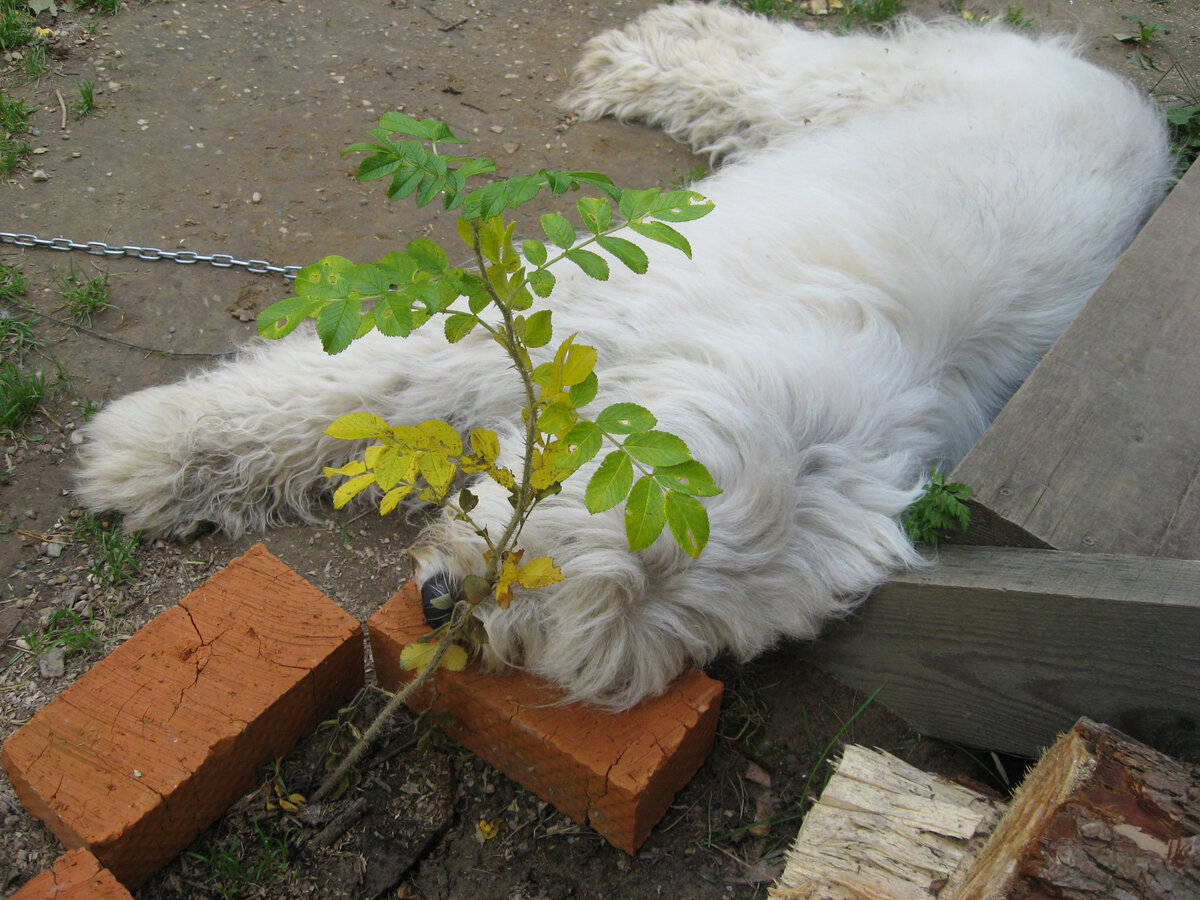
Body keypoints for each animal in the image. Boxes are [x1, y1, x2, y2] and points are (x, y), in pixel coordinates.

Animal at [77, 5, 1171, 710]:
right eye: (582, 518)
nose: (441, 607)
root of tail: (1147, 122)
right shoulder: (538, 325)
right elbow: (346, 389)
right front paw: (156, 453)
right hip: (868, 88)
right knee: (771, 62)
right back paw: (648, 50)